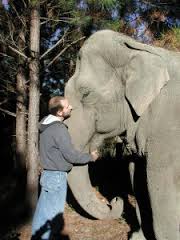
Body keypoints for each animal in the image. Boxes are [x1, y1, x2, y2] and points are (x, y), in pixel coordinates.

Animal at [64, 30, 180, 240]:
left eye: (86, 94)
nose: (114, 200)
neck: (137, 48)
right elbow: (137, 178)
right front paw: (137, 237)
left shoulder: (167, 128)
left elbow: (159, 186)